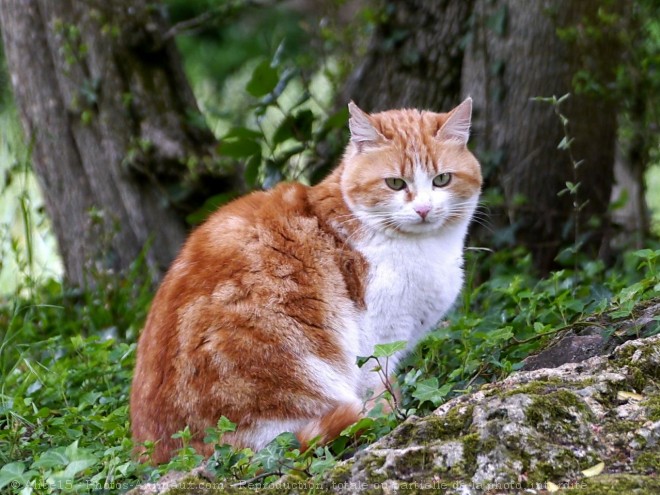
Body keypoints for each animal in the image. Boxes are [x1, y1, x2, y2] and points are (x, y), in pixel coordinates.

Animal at [130, 98, 480, 464]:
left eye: (442, 179)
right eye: (395, 184)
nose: (424, 210)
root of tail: (163, 455)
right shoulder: (378, 342)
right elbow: (377, 386)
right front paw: (391, 414)